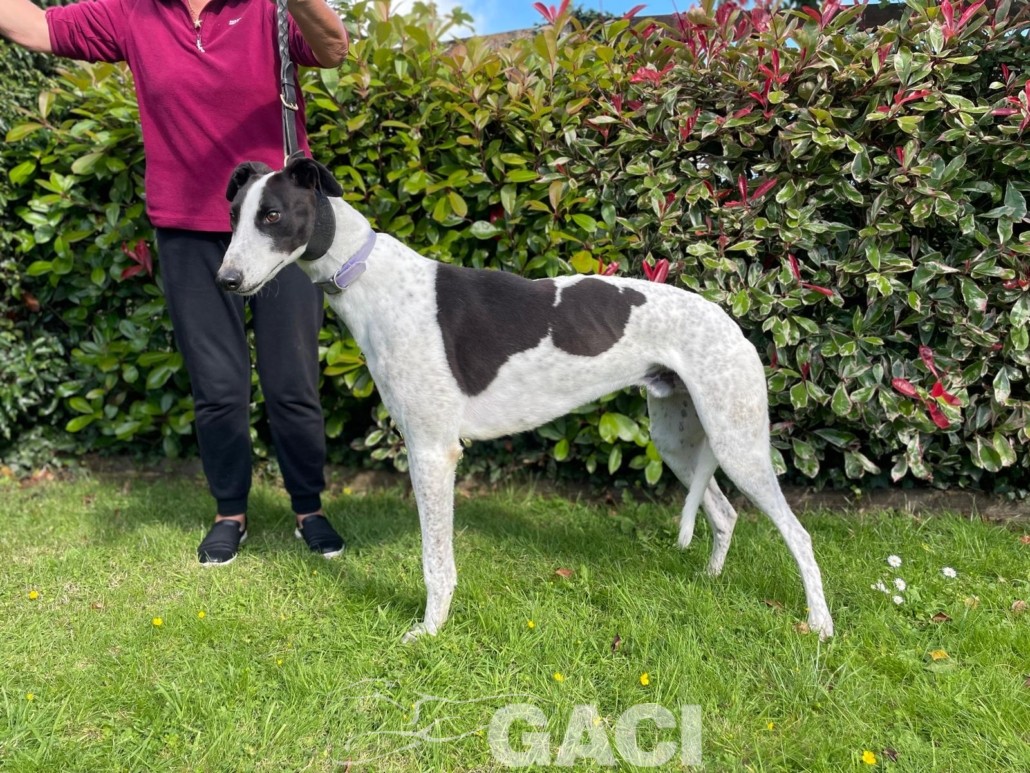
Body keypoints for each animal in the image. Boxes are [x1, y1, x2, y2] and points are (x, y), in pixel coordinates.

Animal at [217, 156, 834, 641]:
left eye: (272, 216)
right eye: (233, 216)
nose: (225, 280)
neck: (369, 275)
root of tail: (733, 323)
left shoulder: (432, 451)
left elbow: (436, 562)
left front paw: (429, 632)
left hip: (737, 443)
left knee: (800, 534)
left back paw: (820, 626)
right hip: (679, 440)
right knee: (726, 513)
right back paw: (709, 582)